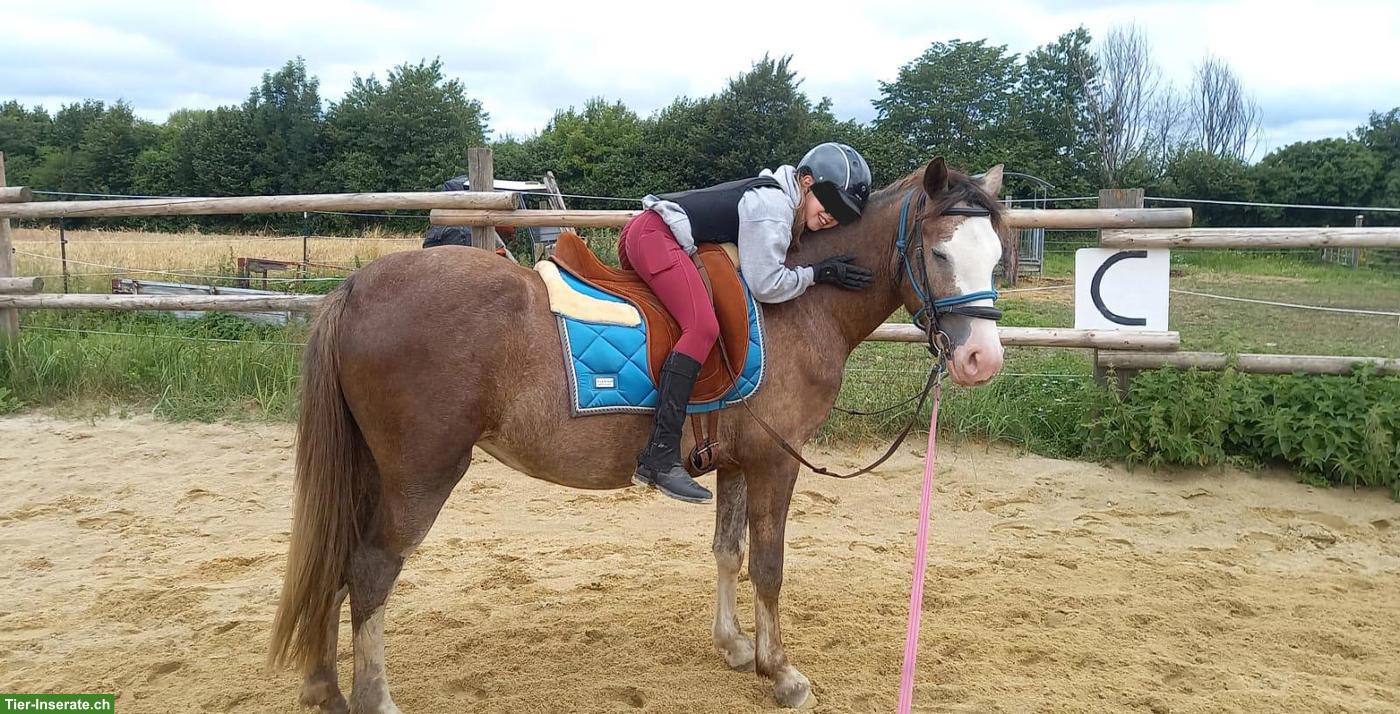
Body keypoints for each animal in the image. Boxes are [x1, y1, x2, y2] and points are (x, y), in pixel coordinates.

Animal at [268, 156, 1011, 712]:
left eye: (997, 255)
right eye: (939, 251)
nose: (982, 360)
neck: (797, 310)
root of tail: (357, 287)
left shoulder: (736, 461)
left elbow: (728, 552)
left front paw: (736, 648)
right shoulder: (775, 462)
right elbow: (769, 565)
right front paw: (781, 671)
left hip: (372, 469)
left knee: (337, 560)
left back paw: (322, 687)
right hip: (421, 473)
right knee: (371, 570)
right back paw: (373, 698)